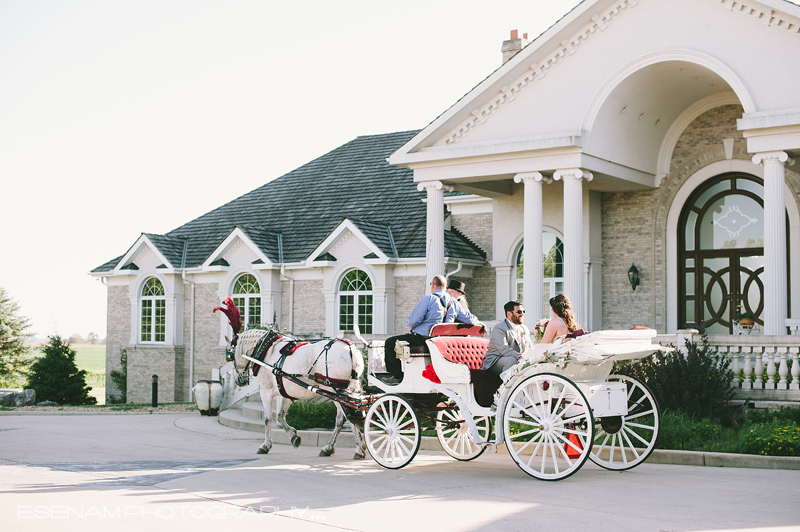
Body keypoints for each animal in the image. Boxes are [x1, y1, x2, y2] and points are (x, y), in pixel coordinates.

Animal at [222, 322, 366, 460]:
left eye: (231, 356)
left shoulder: (265, 391)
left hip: (335, 391)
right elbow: (280, 416)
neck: (266, 351)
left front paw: (266, 446)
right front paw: (294, 437)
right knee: (343, 419)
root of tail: (351, 349)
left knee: (348, 418)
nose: (239, 381)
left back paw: (358, 449)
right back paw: (329, 448)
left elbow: (268, 419)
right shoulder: (286, 392)